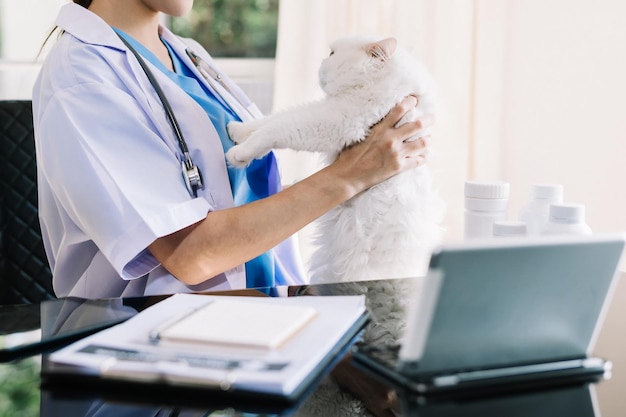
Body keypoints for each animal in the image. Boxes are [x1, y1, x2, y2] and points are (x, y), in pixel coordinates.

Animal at [224, 35, 444, 416]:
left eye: (331, 53)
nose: (319, 61)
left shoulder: (332, 121)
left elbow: (277, 127)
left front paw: (240, 153)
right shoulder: (324, 112)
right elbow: (270, 120)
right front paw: (238, 130)